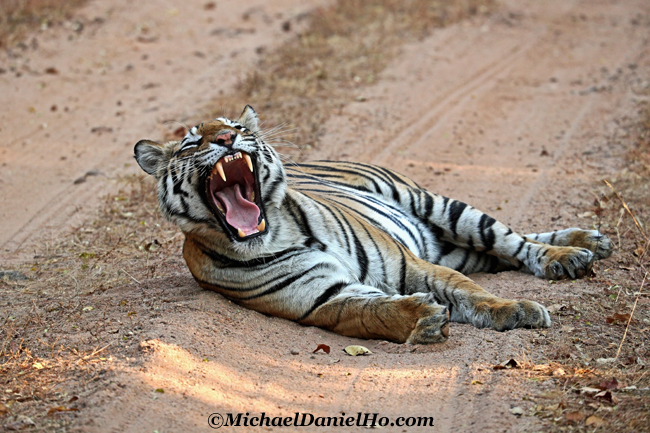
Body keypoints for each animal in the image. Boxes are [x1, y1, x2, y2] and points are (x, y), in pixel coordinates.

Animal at [134, 105, 612, 344]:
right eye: (191, 143)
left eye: (235, 126)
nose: (227, 138)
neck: (277, 230)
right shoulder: (321, 297)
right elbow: (370, 312)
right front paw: (421, 320)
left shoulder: (413, 265)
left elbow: (470, 293)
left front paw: (516, 311)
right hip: (454, 247)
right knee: (499, 253)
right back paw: (587, 245)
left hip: (440, 206)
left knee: (514, 241)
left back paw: (573, 251)